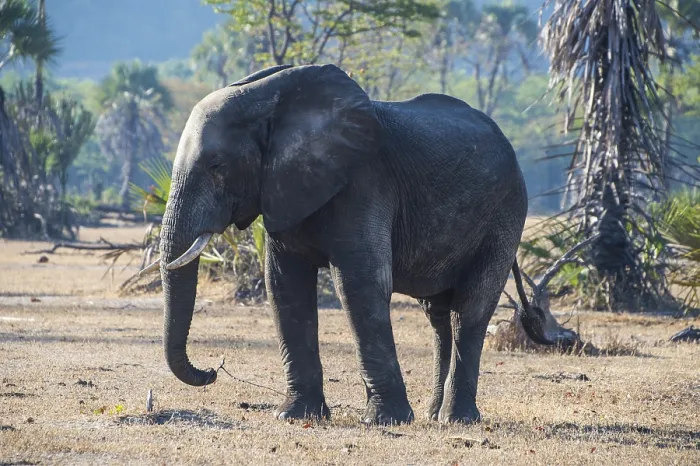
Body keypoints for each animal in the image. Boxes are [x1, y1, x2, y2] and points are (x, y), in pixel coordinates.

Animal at [143, 63, 555, 426]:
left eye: (217, 166)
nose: (212, 370)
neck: (270, 101)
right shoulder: (284, 190)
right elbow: (285, 287)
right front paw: (295, 417)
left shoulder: (364, 182)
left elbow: (359, 285)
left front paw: (385, 421)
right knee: (439, 316)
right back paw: (434, 415)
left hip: (505, 213)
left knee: (468, 310)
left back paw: (457, 419)